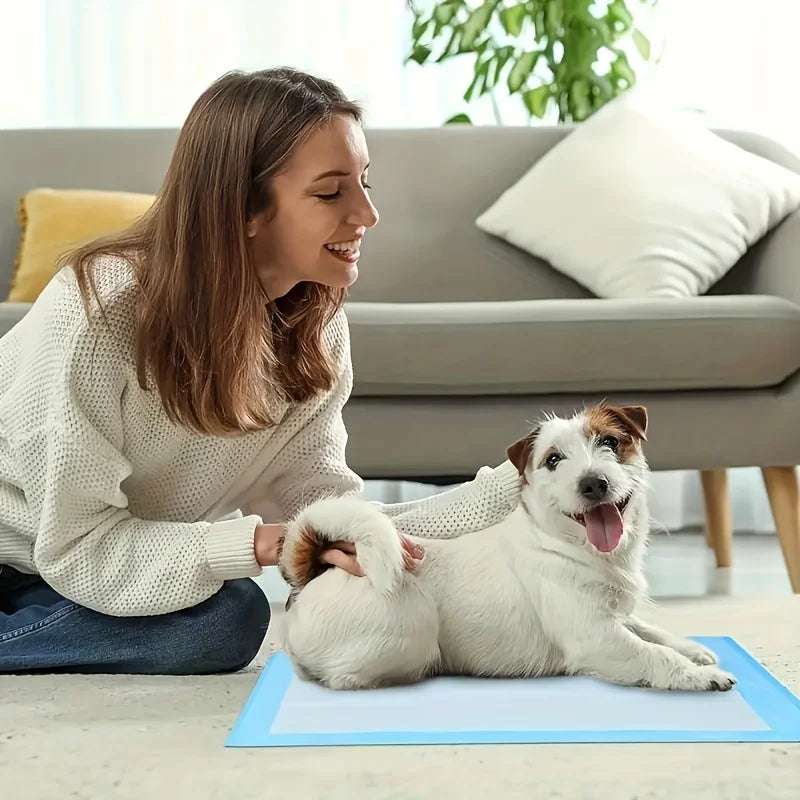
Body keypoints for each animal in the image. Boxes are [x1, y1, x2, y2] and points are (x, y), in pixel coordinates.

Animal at [278, 404, 736, 692]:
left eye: (610, 442)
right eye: (553, 460)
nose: (593, 483)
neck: (571, 546)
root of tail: (316, 576)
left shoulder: (615, 615)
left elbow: (650, 629)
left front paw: (694, 650)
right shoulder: (595, 636)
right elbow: (652, 653)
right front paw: (697, 675)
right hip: (410, 629)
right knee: (340, 676)